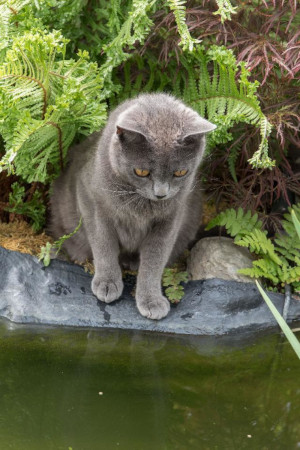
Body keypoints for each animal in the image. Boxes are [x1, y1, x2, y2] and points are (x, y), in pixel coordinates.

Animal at [50, 93, 217, 320]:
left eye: (180, 173)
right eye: (141, 172)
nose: (161, 193)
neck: (140, 205)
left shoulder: (170, 219)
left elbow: (155, 260)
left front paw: (151, 300)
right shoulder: (91, 200)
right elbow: (104, 244)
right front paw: (107, 283)